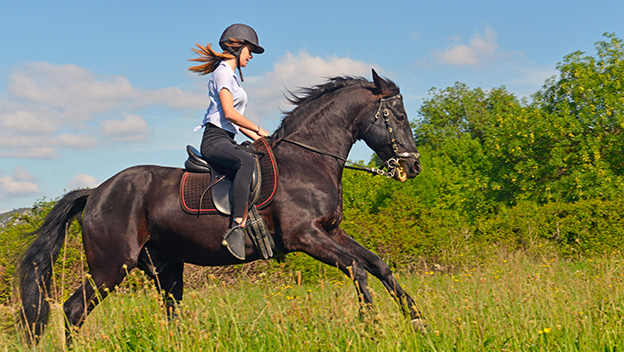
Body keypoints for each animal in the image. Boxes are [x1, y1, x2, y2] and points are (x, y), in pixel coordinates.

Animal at [17, 69, 422, 340]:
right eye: (399, 116)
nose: (414, 166)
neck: (308, 160)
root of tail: (96, 191)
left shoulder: (330, 231)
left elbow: (378, 265)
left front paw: (415, 318)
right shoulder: (304, 236)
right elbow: (358, 269)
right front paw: (372, 326)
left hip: (164, 267)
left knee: (170, 313)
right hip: (111, 267)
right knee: (73, 310)